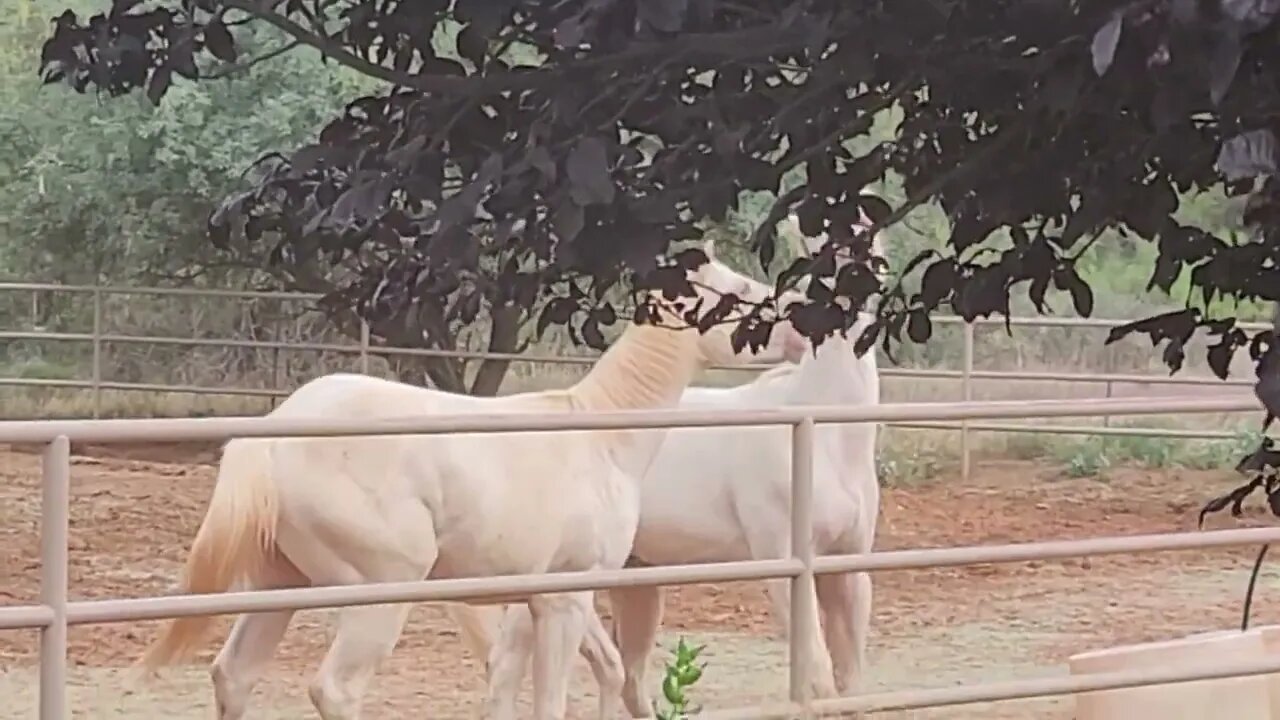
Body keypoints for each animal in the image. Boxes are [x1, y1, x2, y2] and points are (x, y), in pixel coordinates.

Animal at [135, 248, 803, 717]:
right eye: (740, 292)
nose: (801, 329)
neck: (601, 435)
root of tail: (271, 436)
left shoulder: (548, 596)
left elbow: (588, 673)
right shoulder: (565, 599)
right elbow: (553, 701)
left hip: (280, 586)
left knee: (234, 675)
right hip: (377, 595)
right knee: (336, 690)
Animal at [455, 211, 885, 712]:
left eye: (868, 237)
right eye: (821, 250)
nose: (805, 329)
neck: (823, 431)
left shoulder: (849, 570)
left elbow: (853, 685)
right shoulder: (787, 565)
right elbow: (818, 679)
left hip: (636, 582)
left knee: (627, 678)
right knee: (512, 664)